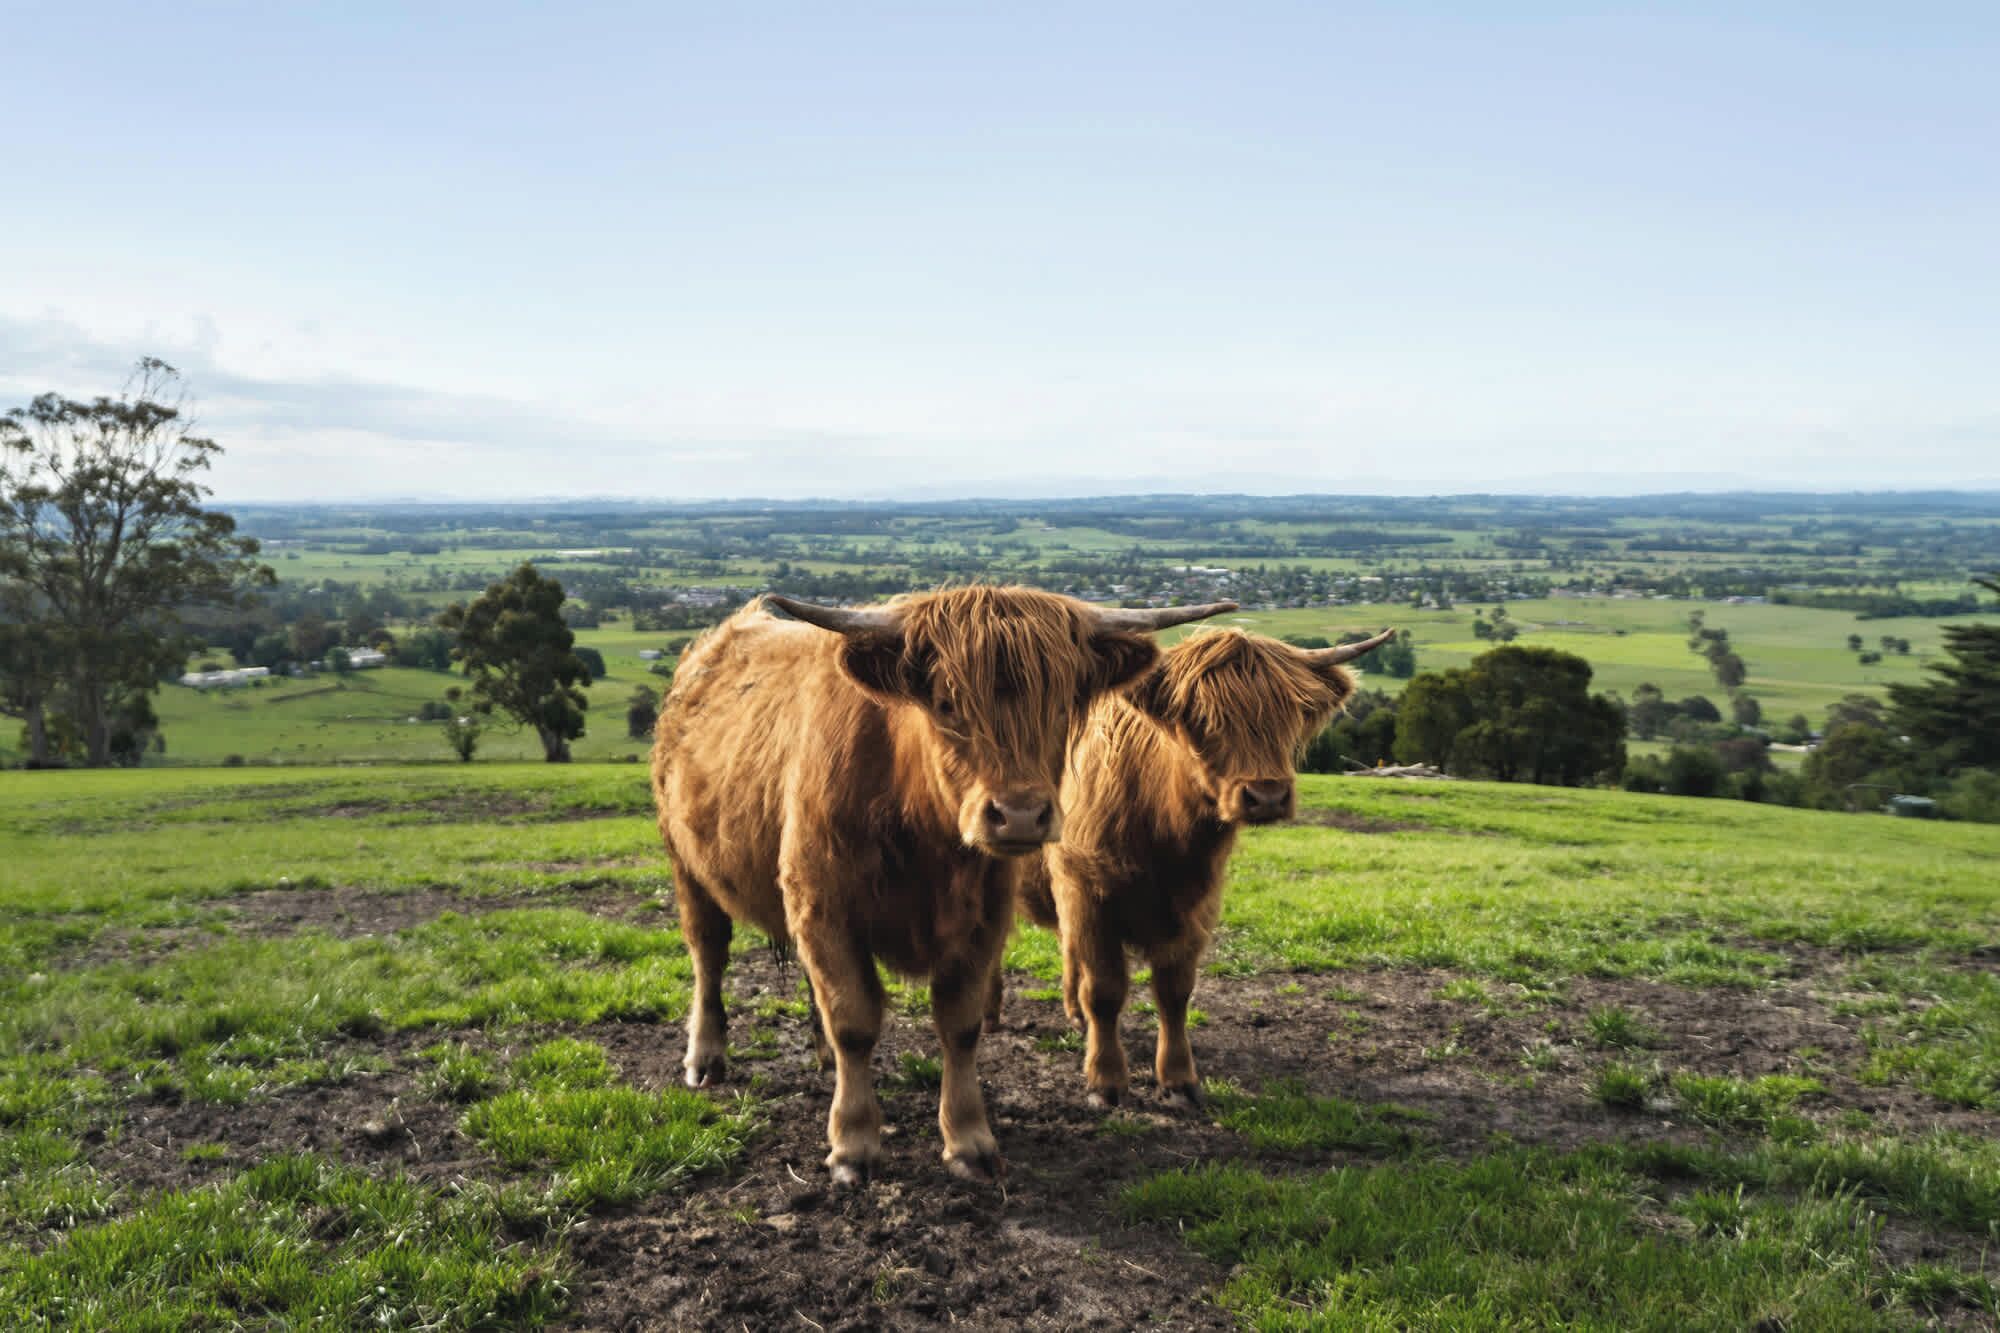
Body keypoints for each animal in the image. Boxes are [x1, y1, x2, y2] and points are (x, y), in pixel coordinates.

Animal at [650, 587, 1236, 1185]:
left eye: (1059, 704)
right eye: (947, 703)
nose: (1020, 816)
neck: (918, 820)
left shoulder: (983, 918)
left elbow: (959, 1024)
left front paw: (969, 1139)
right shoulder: (822, 905)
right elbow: (854, 1021)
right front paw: (854, 1142)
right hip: (686, 865)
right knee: (708, 955)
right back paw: (705, 1058)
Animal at [994, 626, 1393, 1110]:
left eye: (1288, 714)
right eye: (1202, 718)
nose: (1267, 796)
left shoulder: (1196, 903)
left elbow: (1175, 992)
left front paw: (1179, 1078)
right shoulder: (1086, 889)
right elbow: (1104, 989)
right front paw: (1106, 1080)